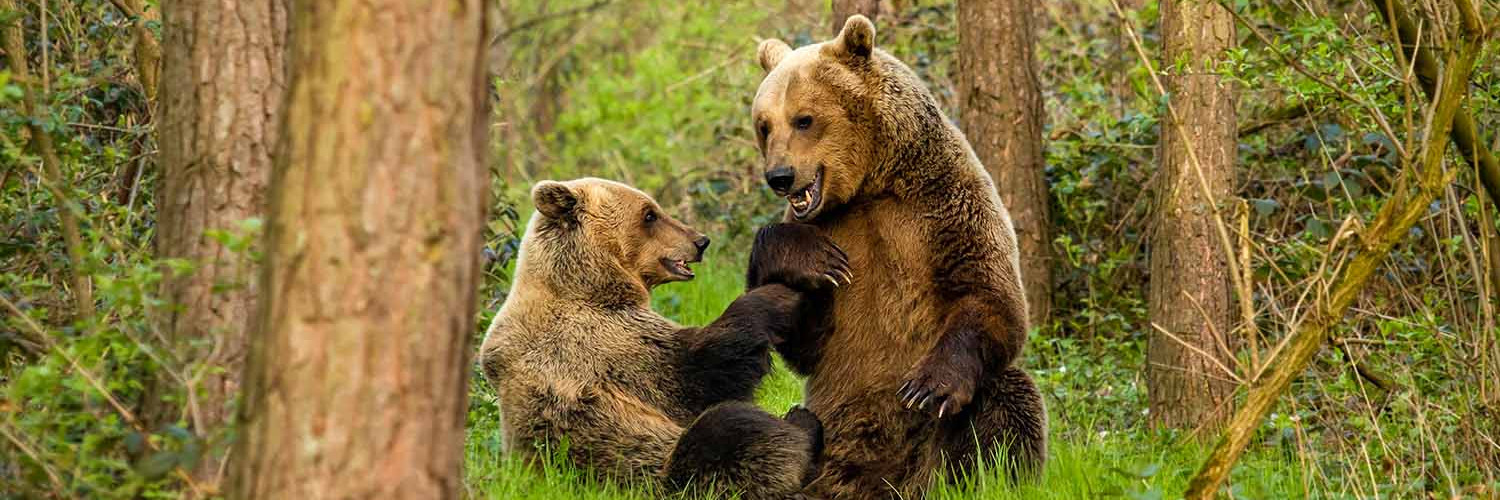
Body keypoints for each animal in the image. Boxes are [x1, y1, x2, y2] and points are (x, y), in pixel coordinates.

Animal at [478, 177, 850, 499]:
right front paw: (786, 286)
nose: (700, 241)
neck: (586, 283)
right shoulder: (599, 342)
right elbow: (697, 373)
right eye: (650, 214)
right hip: (648, 468)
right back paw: (800, 424)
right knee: (727, 434)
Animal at [748, 15, 1049, 498]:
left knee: (1007, 401)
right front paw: (814, 260)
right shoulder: (835, 228)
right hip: (830, 443)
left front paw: (928, 387)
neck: (872, 184)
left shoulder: (943, 204)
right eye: (763, 125)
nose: (780, 176)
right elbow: (806, 333)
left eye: (803, 119)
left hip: (934, 448)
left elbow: (990, 295)